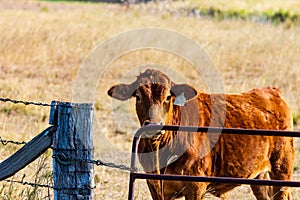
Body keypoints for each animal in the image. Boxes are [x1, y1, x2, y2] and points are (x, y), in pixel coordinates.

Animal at [108, 69, 292, 200]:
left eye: (168, 97)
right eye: (137, 96)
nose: (154, 125)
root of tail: (271, 91)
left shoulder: (195, 185)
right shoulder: (154, 185)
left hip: (282, 169)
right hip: (260, 176)